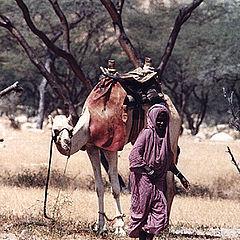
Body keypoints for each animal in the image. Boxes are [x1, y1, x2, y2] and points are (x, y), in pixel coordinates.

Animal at [49, 61, 180, 235]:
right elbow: (99, 187)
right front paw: (100, 226)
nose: (64, 142)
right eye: (54, 130)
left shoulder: (111, 148)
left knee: (170, 184)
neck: (91, 120)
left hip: (171, 136)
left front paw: (120, 227)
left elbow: (115, 188)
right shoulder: (92, 147)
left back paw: (162, 228)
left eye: (69, 129)